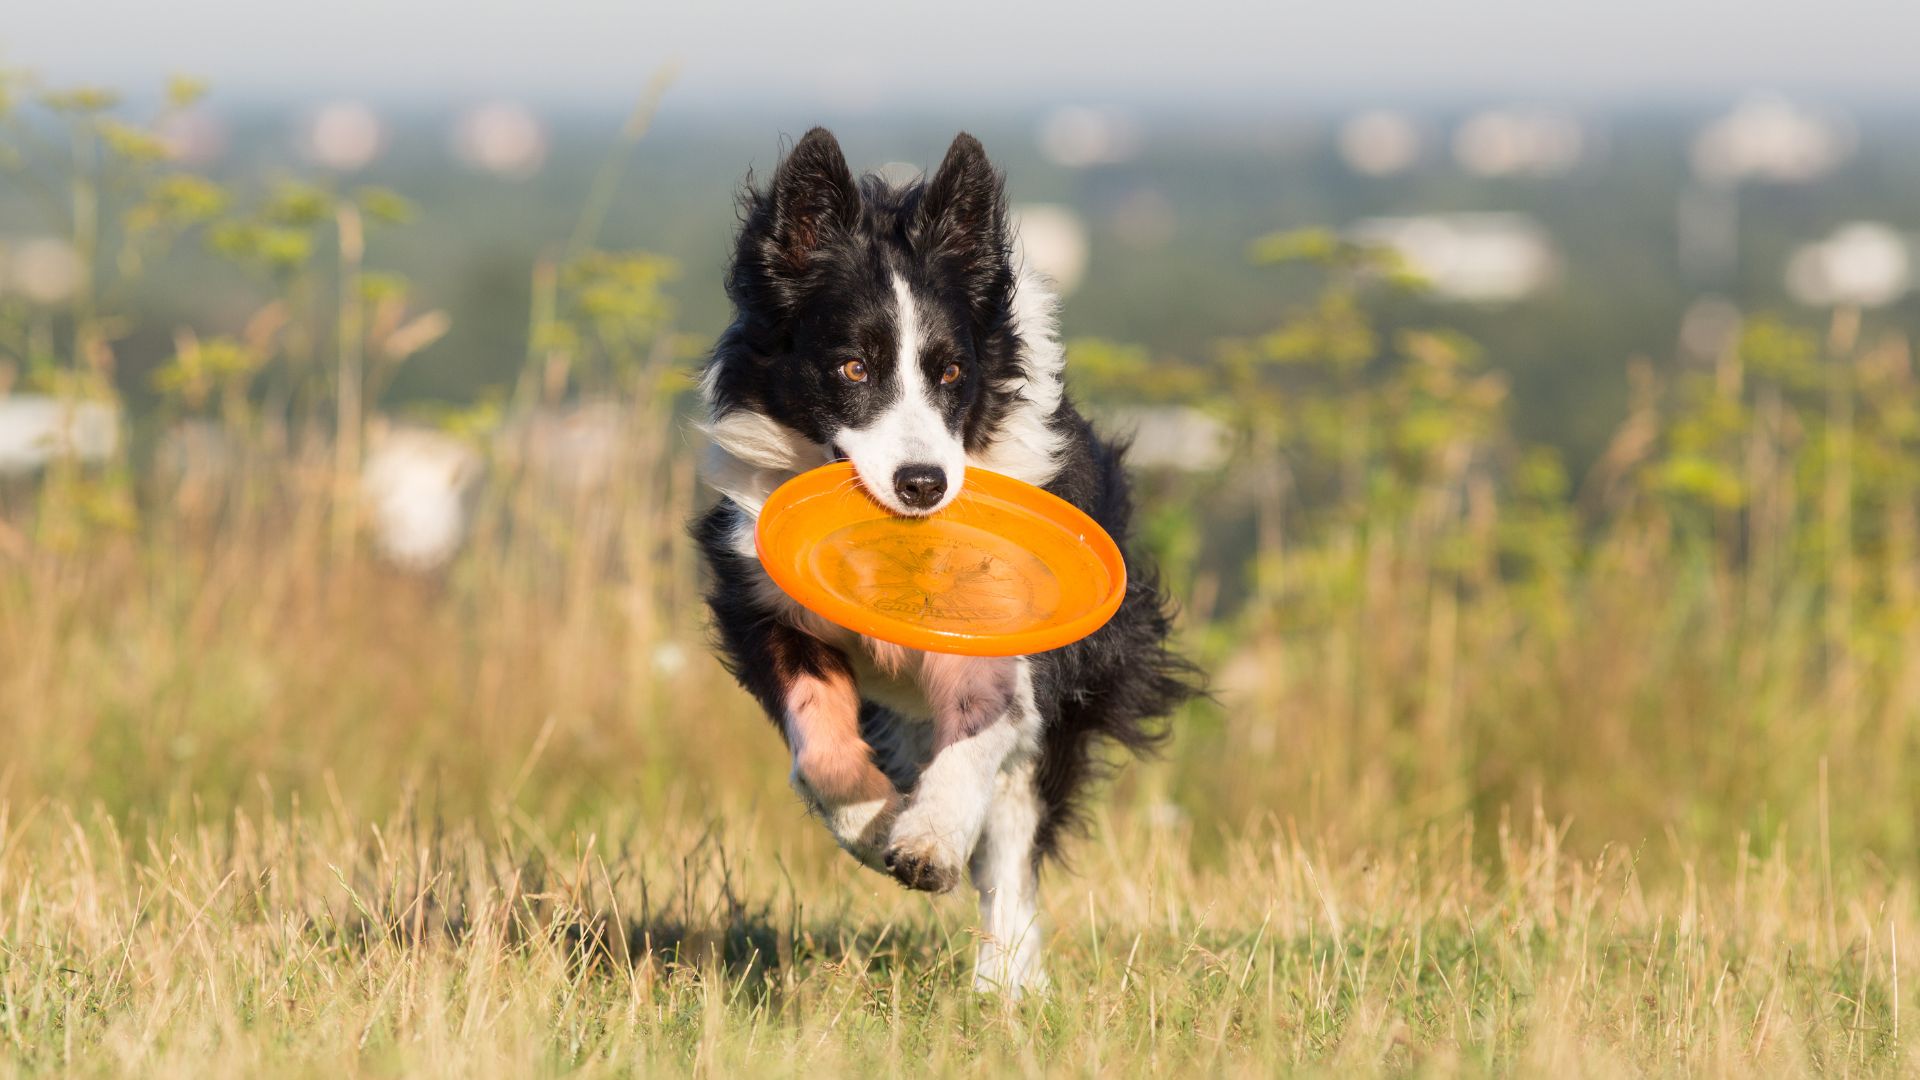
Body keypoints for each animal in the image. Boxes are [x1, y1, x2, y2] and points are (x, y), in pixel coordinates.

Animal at [691, 127, 1198, 991]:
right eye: (853, 368)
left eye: (952, 372)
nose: (924, 484)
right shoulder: (761, 601)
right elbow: (818, 746)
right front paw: (872, 823)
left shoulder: (1010, 633)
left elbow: (986, 726)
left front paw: (929, 839)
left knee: (1016, 836)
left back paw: (1006, 983)